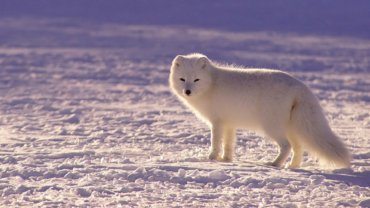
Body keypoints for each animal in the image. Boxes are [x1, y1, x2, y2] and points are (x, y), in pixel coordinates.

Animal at [169, 53, 352, 169]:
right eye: (182, 79)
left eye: (196, 80)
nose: (187, 91)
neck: (212, 84)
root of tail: (300, 86)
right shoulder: (229, 123)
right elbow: (228, 144)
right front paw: (226, 160)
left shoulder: (217, 122)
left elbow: (215, 142)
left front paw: (211, 159)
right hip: (291, 128)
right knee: (298, 148)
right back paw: (292, 166)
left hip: (271, 127)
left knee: (286, 146)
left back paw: (275, 164)